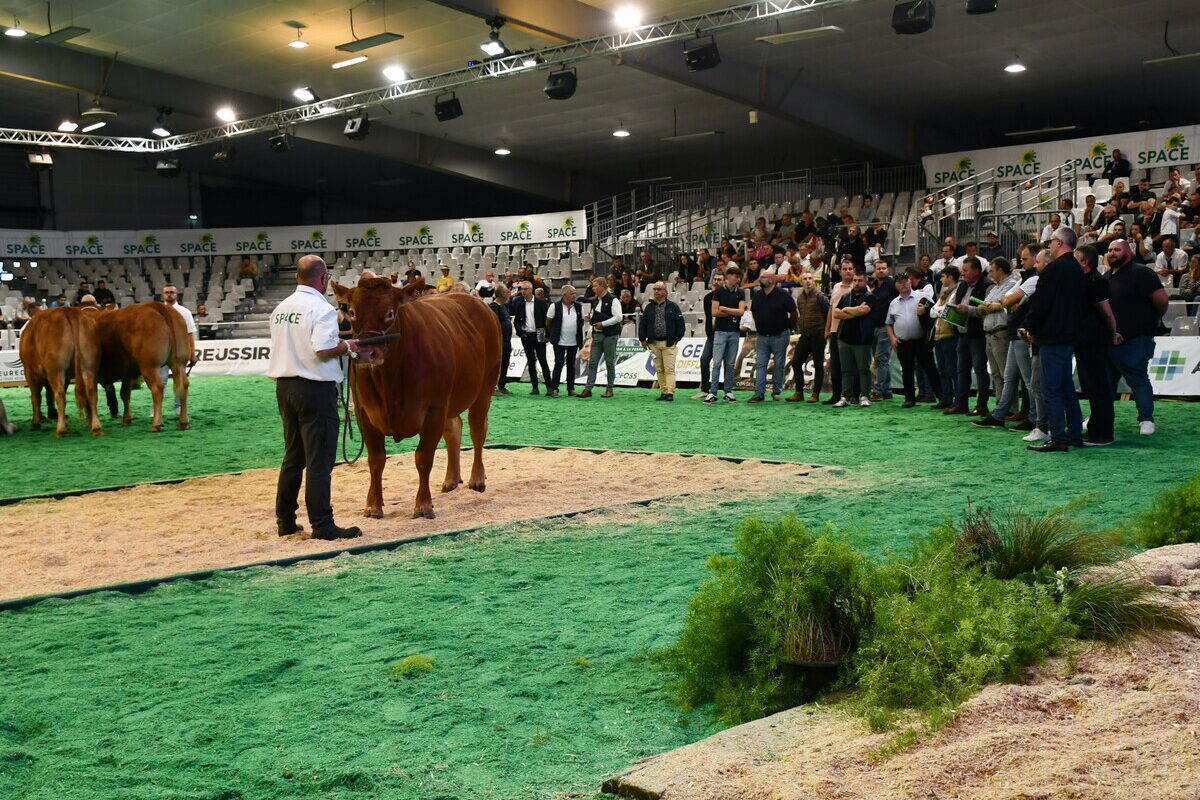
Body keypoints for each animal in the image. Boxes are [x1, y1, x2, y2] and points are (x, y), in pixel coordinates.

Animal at [20, 304, 102, 438]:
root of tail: (68, 311)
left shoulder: (29, 371)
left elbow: (36, 397)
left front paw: (35, 424)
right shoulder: (68, 376)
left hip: (56, 369)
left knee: (59, 394)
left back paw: (61, 429)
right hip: (89, 364)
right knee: (91, 392)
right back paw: (96, 427)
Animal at [94, 302, 190, 431]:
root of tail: (154, 305)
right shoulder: (127, 372)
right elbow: (125, 393)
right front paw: (126, 419)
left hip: (149, 366)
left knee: (157, 388)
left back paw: (156, 424)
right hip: (179, 363)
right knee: (182, 385)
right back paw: (182, 423)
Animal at [331, 278, 499, 522]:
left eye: (390, 313)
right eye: (352, 312)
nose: (365, 354)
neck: (389, 380)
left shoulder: (434, 410)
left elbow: (423, 458)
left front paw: (423, 505)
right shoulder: (365, 413)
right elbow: (376, 460)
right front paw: (373, 506)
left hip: (484, 387)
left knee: (478, 429)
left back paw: (477, 479)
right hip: (451, 399)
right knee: (453, 429)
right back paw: (451, 480)